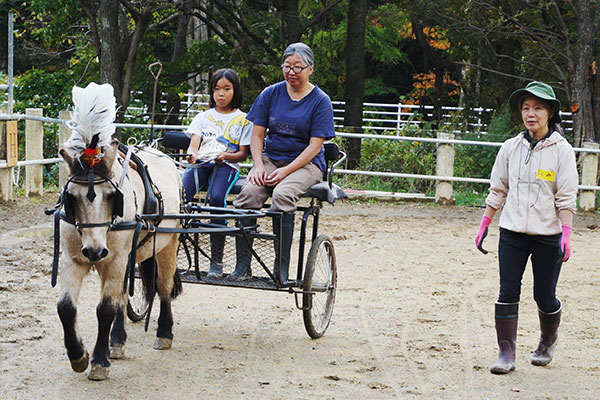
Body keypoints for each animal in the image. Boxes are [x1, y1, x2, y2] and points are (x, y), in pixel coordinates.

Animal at [56, 82, 183, 382]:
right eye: (71, 197)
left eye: (113, 196)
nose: (94, 251)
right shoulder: (72, 259)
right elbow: (67, 307)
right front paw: (78, 355)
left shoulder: (114, 259)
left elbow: (105, 309)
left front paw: (99, 361)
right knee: (123, 295)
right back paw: (118, 340)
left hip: (169, 243)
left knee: (163, 286)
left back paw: (164, 333)